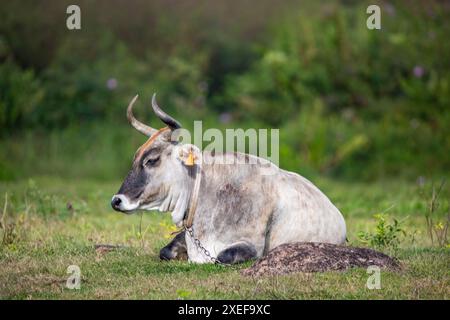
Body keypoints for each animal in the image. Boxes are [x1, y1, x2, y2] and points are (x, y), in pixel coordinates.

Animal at [110, 94, 346, 264]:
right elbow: (165, 251)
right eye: (135, 158)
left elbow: (222, 257)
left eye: (152, 160)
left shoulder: (251, 246)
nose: (116, 201)